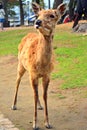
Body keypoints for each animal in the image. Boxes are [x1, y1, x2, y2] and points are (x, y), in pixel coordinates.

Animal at [11, 2, 66, 130]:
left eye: (52, 15)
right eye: (38, 15)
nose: (37, 21)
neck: (41, 64)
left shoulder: (47, 75)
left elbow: (44, 95)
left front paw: (47, 123)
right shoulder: (33, 74)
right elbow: (35, 95)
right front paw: (35, 124)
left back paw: (40, 106)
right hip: (20, 65)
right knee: (17, 81)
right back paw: (14, 105)